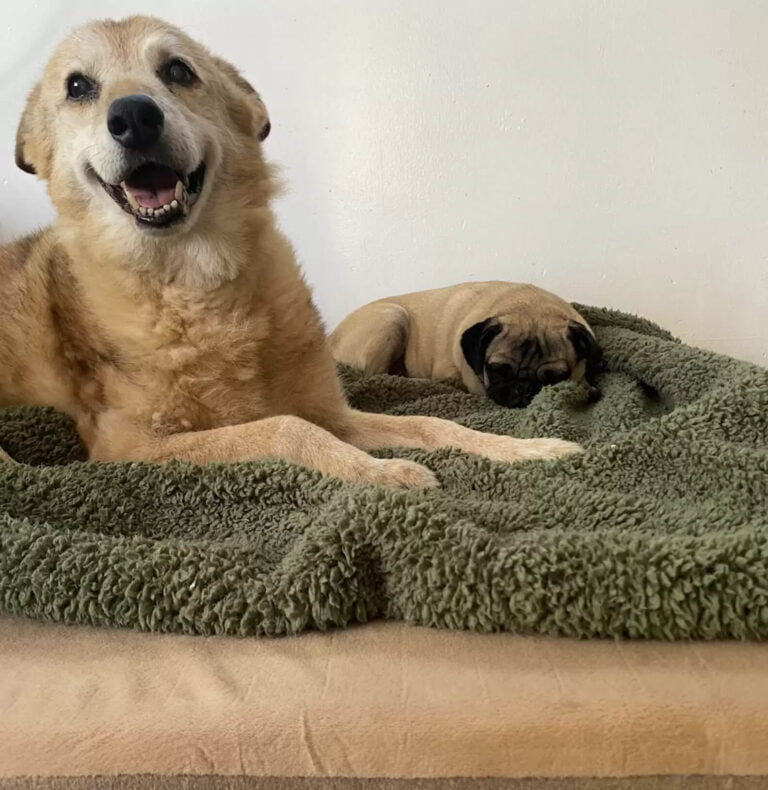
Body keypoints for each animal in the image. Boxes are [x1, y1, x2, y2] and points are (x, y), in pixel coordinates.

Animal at [332, 284, 604, 408]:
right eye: (497, 370)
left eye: (555, 378)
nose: (523, 388)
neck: (529, 305)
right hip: (393, 317)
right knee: (375, 375)